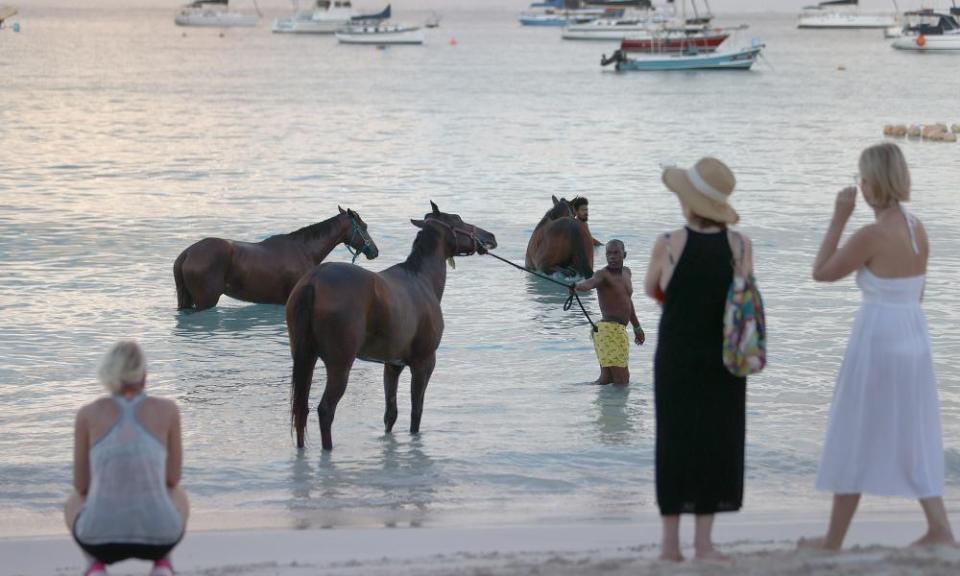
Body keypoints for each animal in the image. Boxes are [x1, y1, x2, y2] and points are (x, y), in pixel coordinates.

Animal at [284, 202, 496, 450]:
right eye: (459, 220)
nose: (490, 236)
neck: (420, 278)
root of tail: (314, 280)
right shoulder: (424, 363)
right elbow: (416, 412)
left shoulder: (392, 365)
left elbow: (390, 413)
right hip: (340, 365)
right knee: (325, 410)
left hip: (305, 357)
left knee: (302, 410)